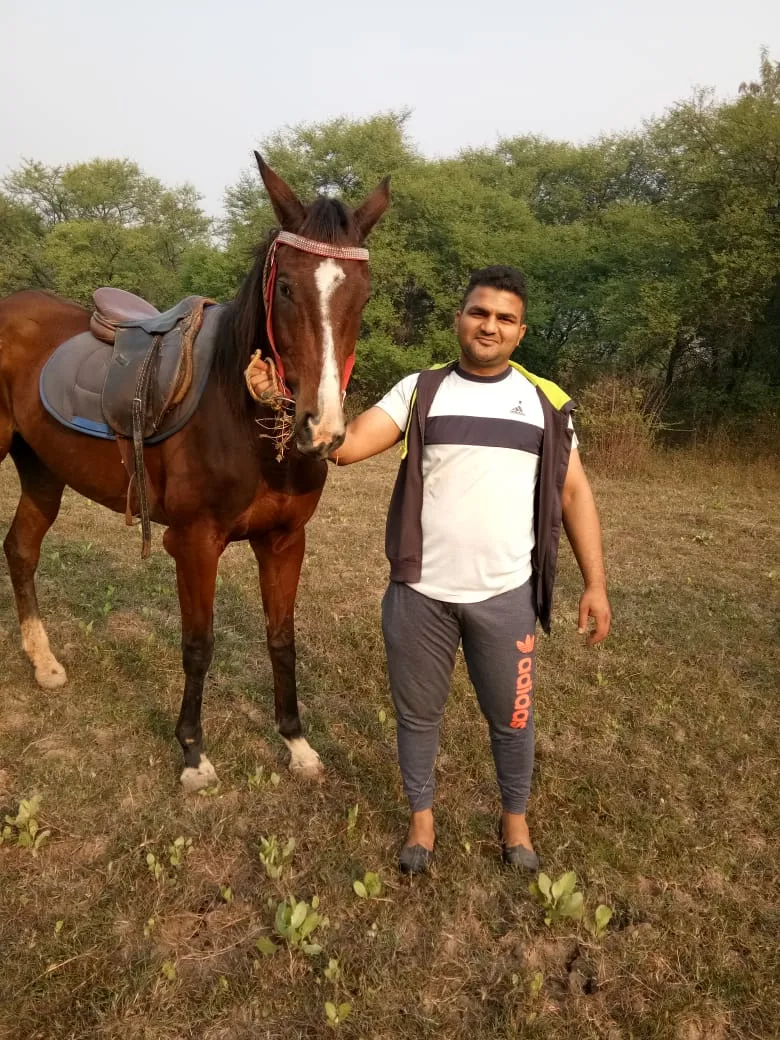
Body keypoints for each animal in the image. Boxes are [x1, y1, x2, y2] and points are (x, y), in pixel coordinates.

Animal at [0, 153, 390, 791]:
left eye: (362, 294)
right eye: (286, 287)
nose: (322, 430)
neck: (240, 416)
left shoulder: (285, 540)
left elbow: (281, 639)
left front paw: (296, 743)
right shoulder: (195, 542)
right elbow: (199, 645)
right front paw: (192, 753)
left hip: (41, 471)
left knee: (21, 550)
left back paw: (45, 663)